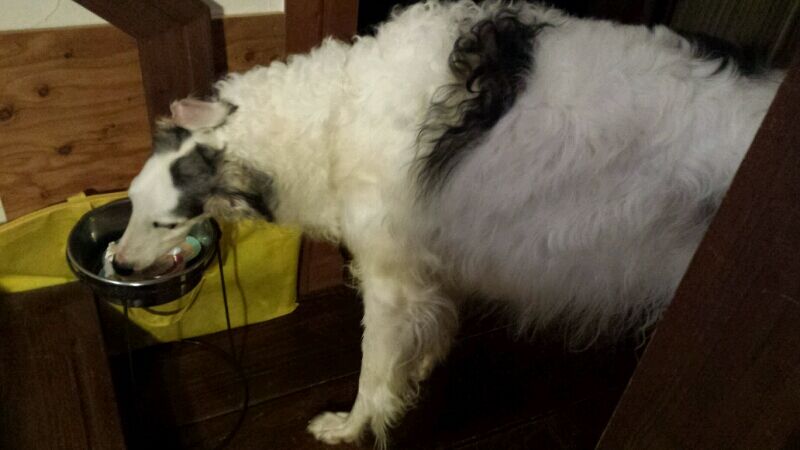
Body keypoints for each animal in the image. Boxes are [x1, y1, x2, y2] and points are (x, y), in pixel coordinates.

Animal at [111, 1, 783, 446]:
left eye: (166, 222)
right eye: (132, 205)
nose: (117, 262)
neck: (333, 114)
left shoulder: (388, 281)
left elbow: (372, 374)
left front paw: (349, 426)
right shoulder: (427, 264)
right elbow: (427, 336)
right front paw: (419, 368)